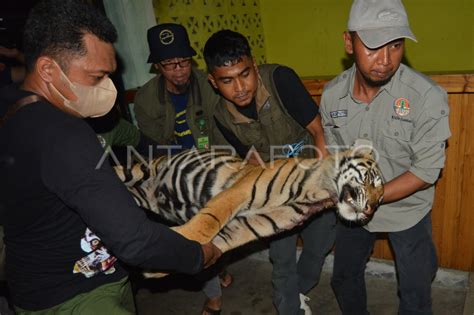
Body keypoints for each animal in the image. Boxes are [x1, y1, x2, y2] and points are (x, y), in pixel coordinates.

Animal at [113, 147, 384, 278]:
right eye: (370, 180)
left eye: (380, 200)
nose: (370, 209)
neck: (317, 193)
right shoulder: (237, 192)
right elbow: (208, 222)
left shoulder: (255, 223)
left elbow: (221, 241)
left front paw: (158, 268)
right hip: (141, 169)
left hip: (141, 196)